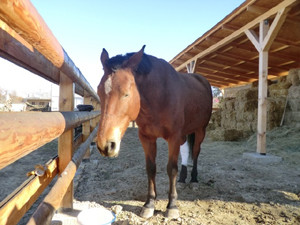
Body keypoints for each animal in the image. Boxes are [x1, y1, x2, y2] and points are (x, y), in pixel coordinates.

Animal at [97, 45, 212, 218]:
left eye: (126, 93)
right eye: (99, 92)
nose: (106, 145)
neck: (160, 96)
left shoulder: (174, 137)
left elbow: (171, 169)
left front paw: (172, 205)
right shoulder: (146, 137)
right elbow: (151, 168)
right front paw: (149, 203)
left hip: (200, 130)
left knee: (196, 152)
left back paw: (193, 180)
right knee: (186, 151)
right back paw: (183, 178)